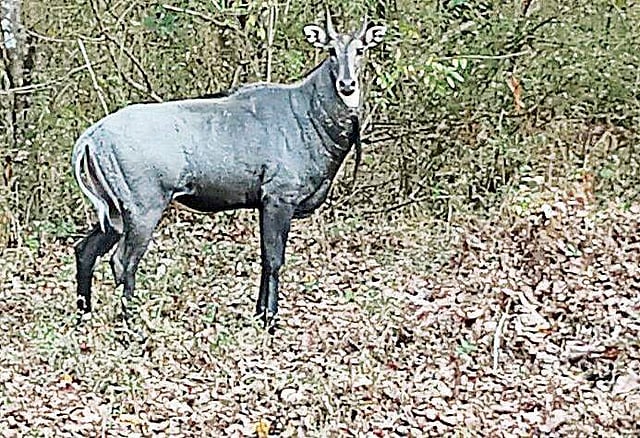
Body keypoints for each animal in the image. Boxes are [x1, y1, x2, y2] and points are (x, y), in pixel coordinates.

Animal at [72, 11, 387, 330]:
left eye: (361, 49)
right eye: (331, 50)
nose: (347, 85)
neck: (310, 115)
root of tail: (90, 138)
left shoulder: (263, 203)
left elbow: (264, 257)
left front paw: (259, 313)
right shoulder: (279, 198)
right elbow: (274, 260)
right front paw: (270, 320)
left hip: (114, 211)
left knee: (85, 250)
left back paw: (84, 315)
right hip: (143, 208)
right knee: (123, 261)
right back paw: (131, 325)